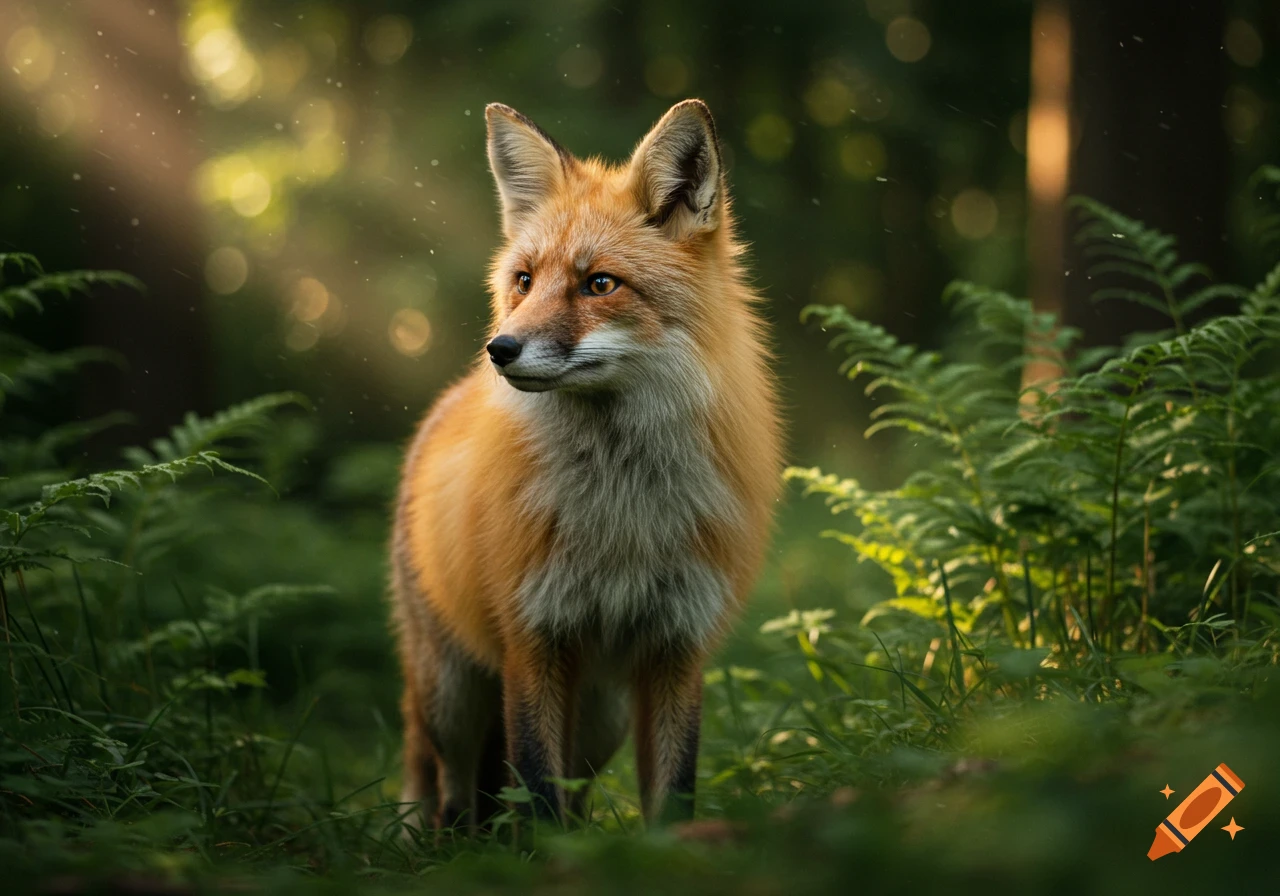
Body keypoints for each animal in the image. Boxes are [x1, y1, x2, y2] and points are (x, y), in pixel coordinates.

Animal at [391, 99, 782, 832]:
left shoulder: (677, 644)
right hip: (451, 696)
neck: (620, 513)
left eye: (599, 283)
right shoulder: (533, 638)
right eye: (524, 281)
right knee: (445, 785)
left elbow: (670, 794)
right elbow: (537, 788)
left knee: (564, 789)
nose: (500, 349)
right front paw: (544, 854)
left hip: (602, 718)